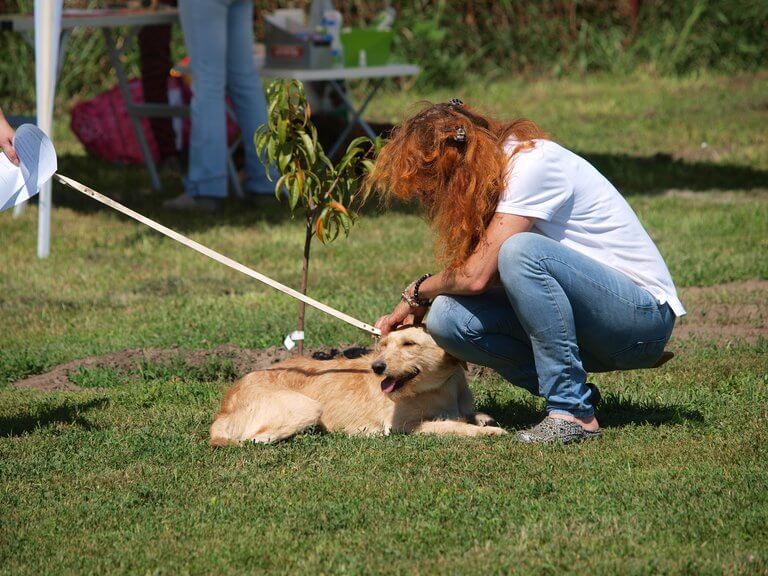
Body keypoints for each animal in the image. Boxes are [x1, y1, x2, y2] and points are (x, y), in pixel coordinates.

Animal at [210, 326, 506, 445]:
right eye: (384, 345)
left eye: (409, 343)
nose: (377, 367)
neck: (440, 388)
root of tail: (226, 405)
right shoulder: (404, 427)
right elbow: (454, 426)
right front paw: (488, 432)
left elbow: (467, 416)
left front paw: (482, 419)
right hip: (305, 407)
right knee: (254, 439)